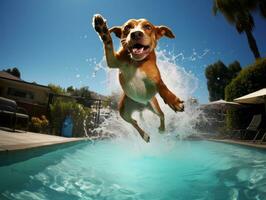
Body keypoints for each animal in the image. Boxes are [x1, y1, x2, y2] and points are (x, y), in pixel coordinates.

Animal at [92, 14, 184, 142]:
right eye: (127, 27)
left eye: (148, 27)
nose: (135, 34)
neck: (136, 62)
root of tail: (141, 106)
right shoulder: (114, 61)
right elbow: (108, 45)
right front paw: (102, 29)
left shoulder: (155, 78)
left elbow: (162, 85)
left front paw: (173, 100)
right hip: (124, 111)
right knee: (134, 121)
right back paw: (144, 135)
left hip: (154, 106)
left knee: (162, 115)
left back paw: (162, 129)